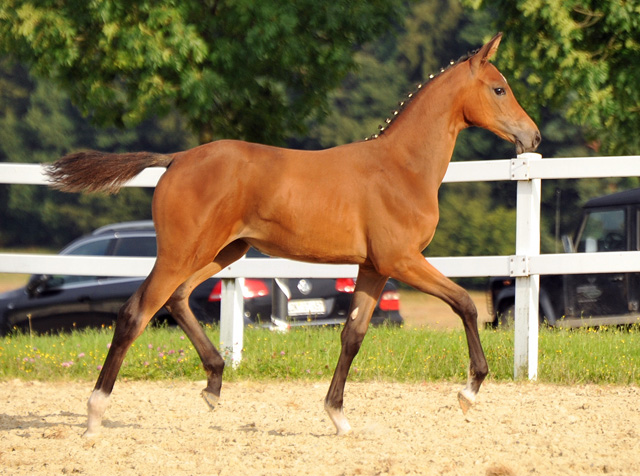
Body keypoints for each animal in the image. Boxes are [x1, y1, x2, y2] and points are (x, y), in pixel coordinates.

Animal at [48, 31, 540, 436]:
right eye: (499, 88)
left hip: (223, 252)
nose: (532, 137)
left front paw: (337, 416)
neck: (402, 168)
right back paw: (95, 414)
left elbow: (352, 335)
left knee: (179, 297)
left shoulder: (374, 268)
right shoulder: (402, 260)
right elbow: (464, 304)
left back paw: (213, 383)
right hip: (180, 252)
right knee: (136, 313)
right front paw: (468, 392)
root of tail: (177, 159)